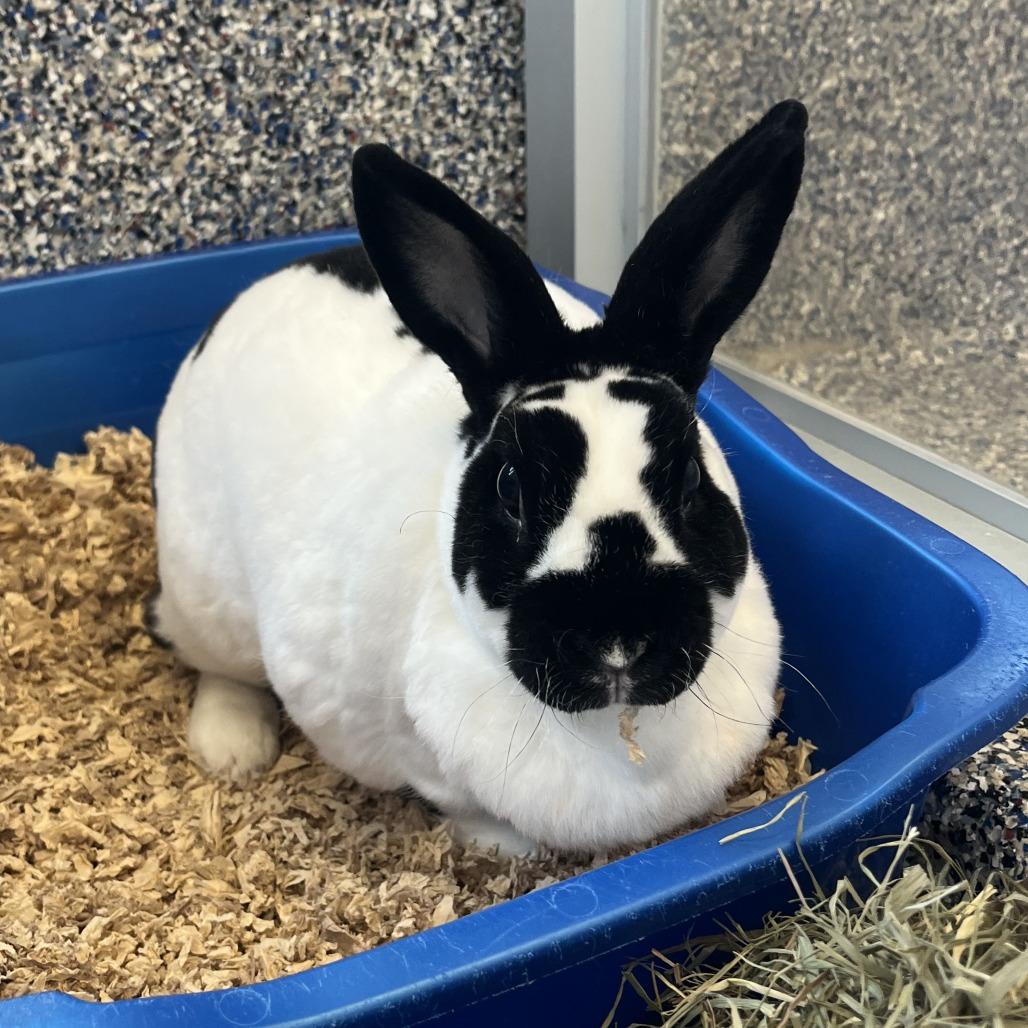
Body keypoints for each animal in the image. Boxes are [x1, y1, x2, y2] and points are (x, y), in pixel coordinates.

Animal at [149, 100, 806, 855]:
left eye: (691, 476)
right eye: (511, 488)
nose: (617, 639)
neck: (618, 735)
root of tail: (269, 276)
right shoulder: (417, 756)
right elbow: (469, 810)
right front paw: (505, 850)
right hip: (207, 593)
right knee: (214, 664)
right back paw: (232, 751)